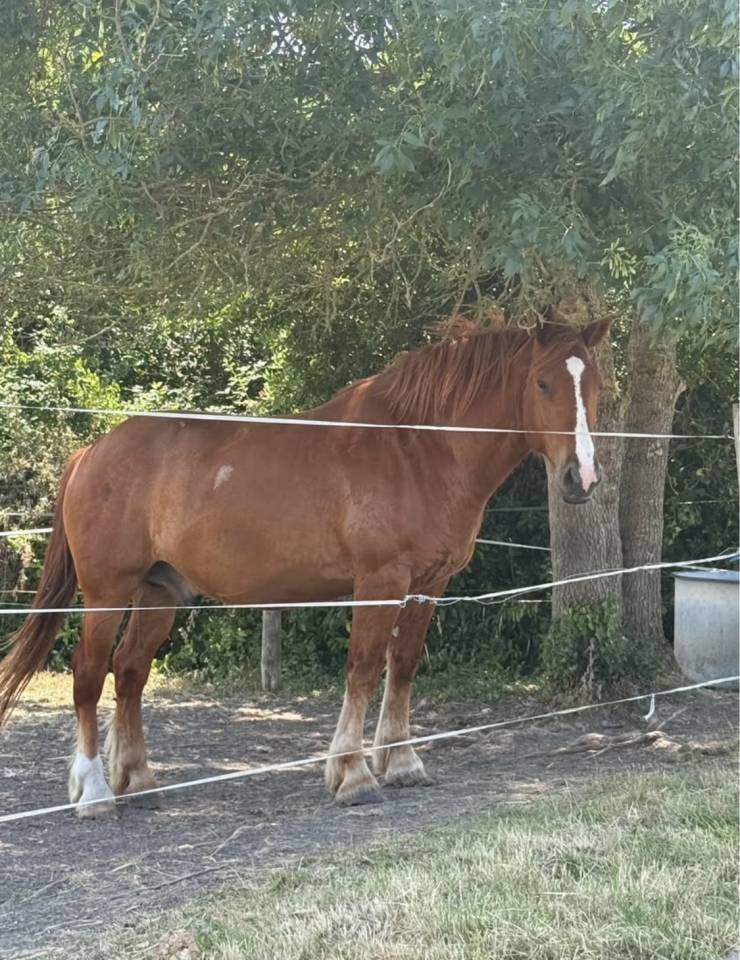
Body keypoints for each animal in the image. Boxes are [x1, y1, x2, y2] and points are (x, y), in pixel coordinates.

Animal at [0, 313, 609, 816]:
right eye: (543, 383)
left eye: (595, 386)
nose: (580, 479)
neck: (418, 447)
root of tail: (91, 454)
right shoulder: (379, 581)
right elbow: (363, 668)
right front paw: (353, 775)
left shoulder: (429, 584)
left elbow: (403, 665)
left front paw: (402, 763)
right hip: (107, 592)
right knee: (88, 673)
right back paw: (94, 792)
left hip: (159, 592)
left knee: (129, 672)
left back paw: (140, 780)